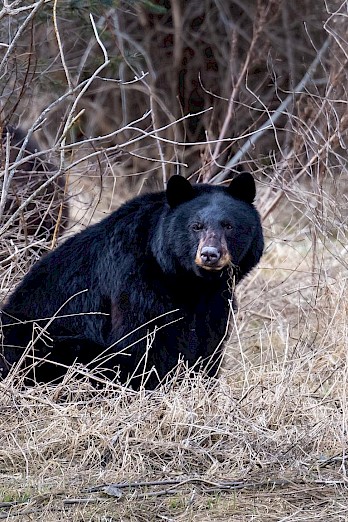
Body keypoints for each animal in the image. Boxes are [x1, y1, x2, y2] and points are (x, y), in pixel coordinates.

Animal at [0, 173, 264, 388]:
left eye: (228, 226)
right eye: (196, 226)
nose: (210, 254)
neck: (188, 282)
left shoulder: (217, 298)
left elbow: (209, 340)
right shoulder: (135, 279)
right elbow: (140, 339)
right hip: (41, 340)